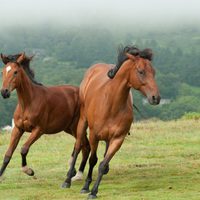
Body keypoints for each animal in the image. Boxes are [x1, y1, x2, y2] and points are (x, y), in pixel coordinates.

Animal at [0, 52, 90, 181]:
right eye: (3, 72)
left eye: (15, 72)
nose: (4, 92)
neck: (28, 103)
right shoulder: (18, 129)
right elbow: (8, 154)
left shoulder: (38, 130)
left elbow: (24, 149)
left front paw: (29, 171)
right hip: (69, 128)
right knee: (83, 145)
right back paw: (74, 171)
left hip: (76, 127)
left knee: (85, 146)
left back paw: (77, 174)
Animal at [62, 45, 161, 198]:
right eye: (141, 71)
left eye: (154, 72)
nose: (156, 97)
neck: (111, 104)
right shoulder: (94, 135)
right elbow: (93, 160)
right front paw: (86, 186)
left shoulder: (118, 139)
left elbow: (102, 164)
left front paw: (94, 191)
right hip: (83, 122)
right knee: (78, 147)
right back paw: (67, 180)